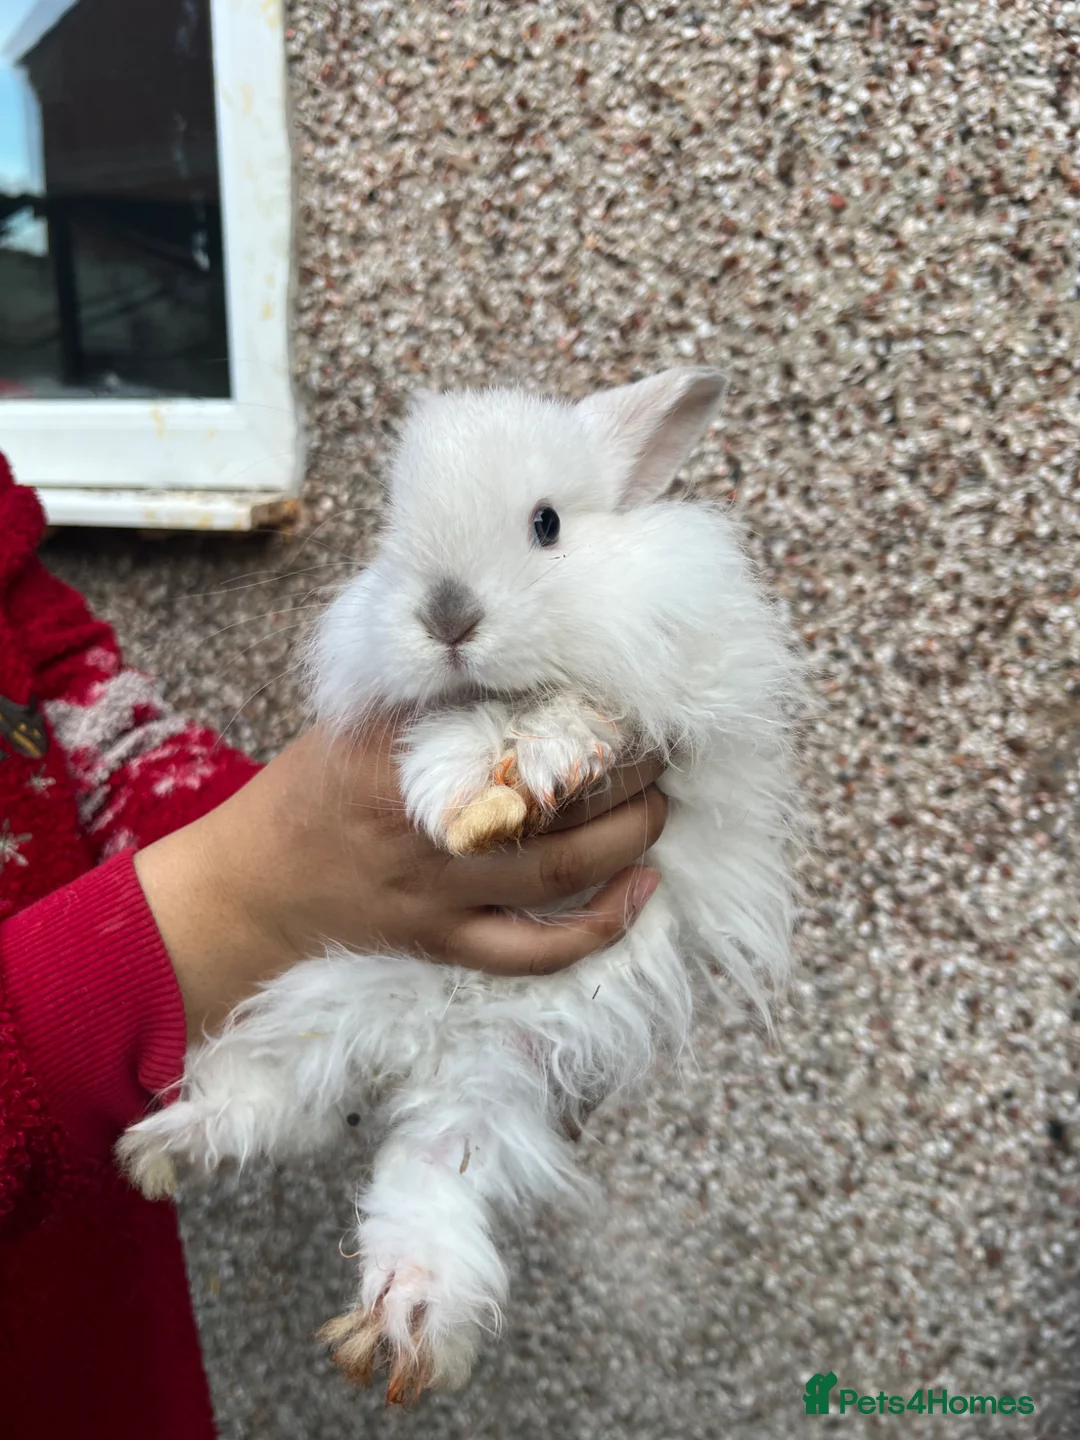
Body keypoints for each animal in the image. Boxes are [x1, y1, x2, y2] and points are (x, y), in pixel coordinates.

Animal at [118, 366, 803, 1405]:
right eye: (393, 531)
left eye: (547, 525)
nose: (446, 617)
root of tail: (413, 1050)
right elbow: (452, 727)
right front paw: (459, 790)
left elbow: (564, 708)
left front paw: (521, 765)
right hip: (330, 990)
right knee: (275, 1103)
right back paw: (168, 1151)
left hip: (498, 1075)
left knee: (429, 1173)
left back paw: (408, 1311)